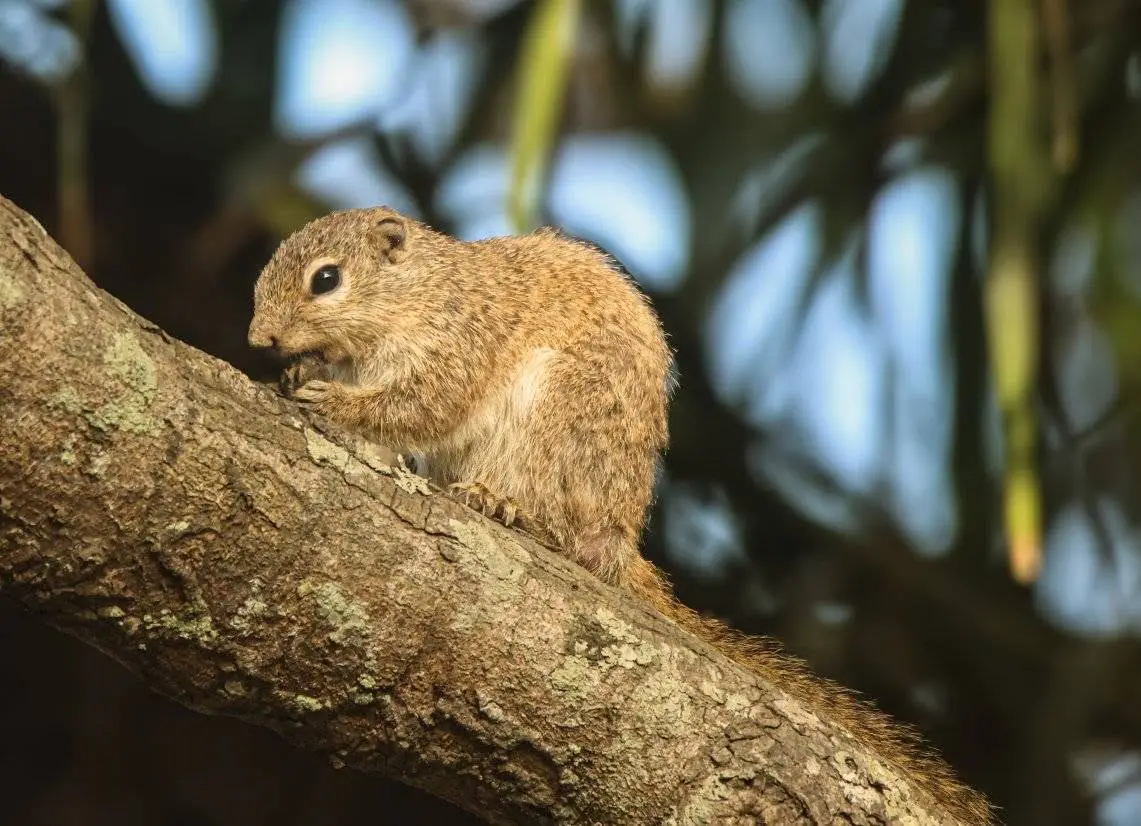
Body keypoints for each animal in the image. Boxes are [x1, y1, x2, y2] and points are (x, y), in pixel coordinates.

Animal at [248, 206, 995, 825]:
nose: (260, 338)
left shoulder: (460, 341)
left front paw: (332, 401)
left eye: (326, 279)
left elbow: (420, 405)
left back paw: (506, 505)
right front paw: (298, 376)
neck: (417, 295)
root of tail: (620, 537)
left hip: (562, 417)